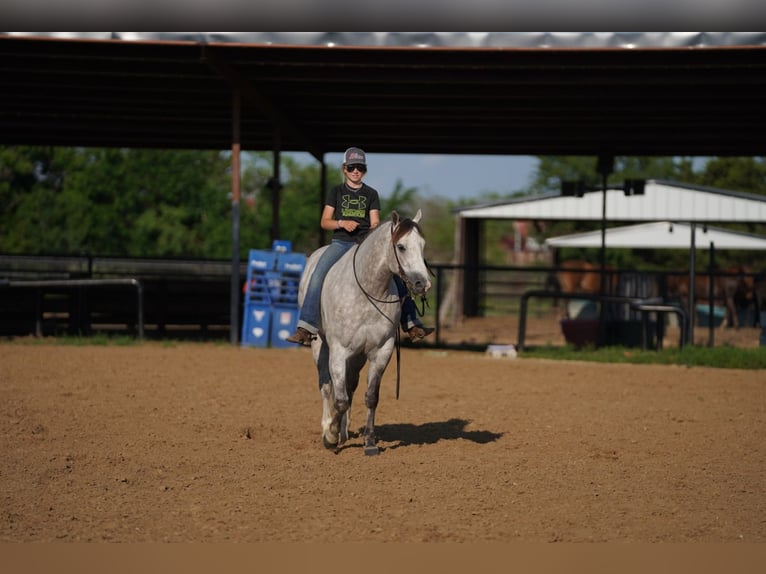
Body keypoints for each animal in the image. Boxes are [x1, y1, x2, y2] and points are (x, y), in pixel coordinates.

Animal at [298, 209, 432, 456]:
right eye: (401, 246)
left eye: (422, 245)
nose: (422, 284)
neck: (368, 291)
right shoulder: (338, 351)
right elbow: (339, 398)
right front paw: (330, 437)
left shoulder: (381, 351)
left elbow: (370, 397)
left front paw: (369, 442)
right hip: (319, 345)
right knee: (326, 386)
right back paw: (328, 427)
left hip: (358, 356)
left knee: (350, 386)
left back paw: (344, 431)